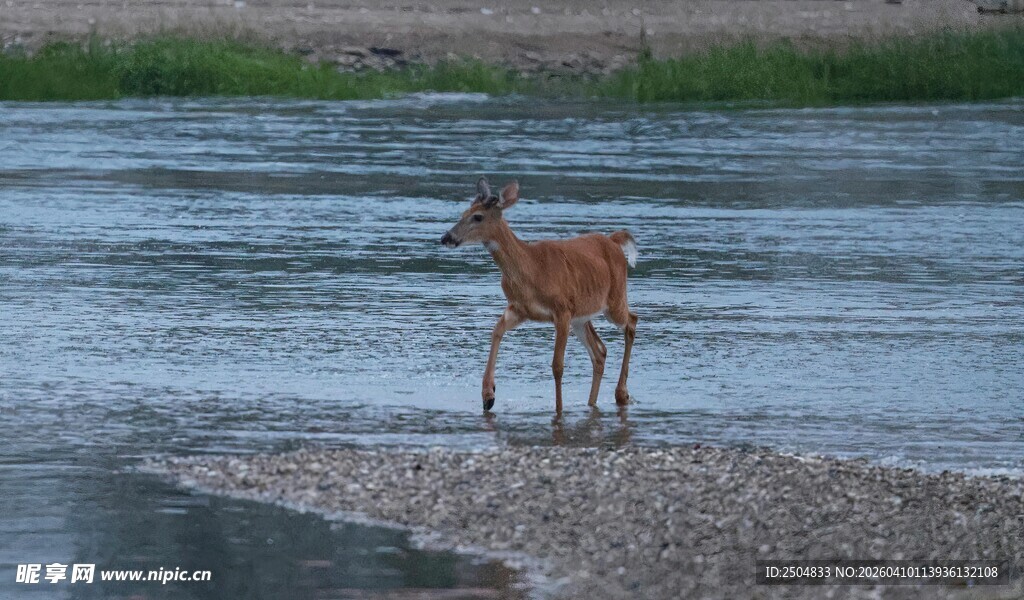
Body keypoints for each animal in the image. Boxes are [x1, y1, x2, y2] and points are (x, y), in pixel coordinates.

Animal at [440, 177, 639, 414]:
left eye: (478, 216)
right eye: (463, 213)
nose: (446, 237)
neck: (532, 268)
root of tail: (615, 241)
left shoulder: (562, 310)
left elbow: (557, 365)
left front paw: (558, 409)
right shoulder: (519, 308)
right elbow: (496, 331)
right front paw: (488, 395)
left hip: (614, 300)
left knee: (631, 321)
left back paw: (622, 394)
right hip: (581, 318)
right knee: (600, 352)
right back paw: (592, 403)